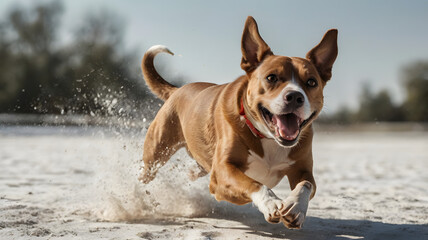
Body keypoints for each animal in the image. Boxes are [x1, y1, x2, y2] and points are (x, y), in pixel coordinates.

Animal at [140, 15, 338, 228]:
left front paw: (295, 206)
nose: (295, 96)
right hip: (156, 151)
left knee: (196, 168)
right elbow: (252, 183)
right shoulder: (222, 172)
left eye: (311, 82)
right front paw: (270, 202)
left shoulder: (303, 168)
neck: (268, 138)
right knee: (145, 173)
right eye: (271, 77)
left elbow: (306, 184)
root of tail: (177, 89)